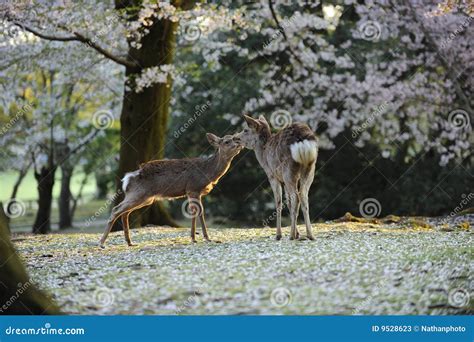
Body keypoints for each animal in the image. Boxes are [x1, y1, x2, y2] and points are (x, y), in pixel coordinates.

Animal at [98, 134, 243, 248]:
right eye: (227, 141)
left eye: (235, 137)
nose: (239, 144)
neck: (207, 172)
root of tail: (127, 179)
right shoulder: (193, 188)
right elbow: (198, 212)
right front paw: (204, 238)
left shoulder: (195, 192)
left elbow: (196, 212)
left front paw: (194, 237)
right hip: (139, 194)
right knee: (116, 209)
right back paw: (101, 243)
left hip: (145, 198)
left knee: (125, 213)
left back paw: (129, 242)